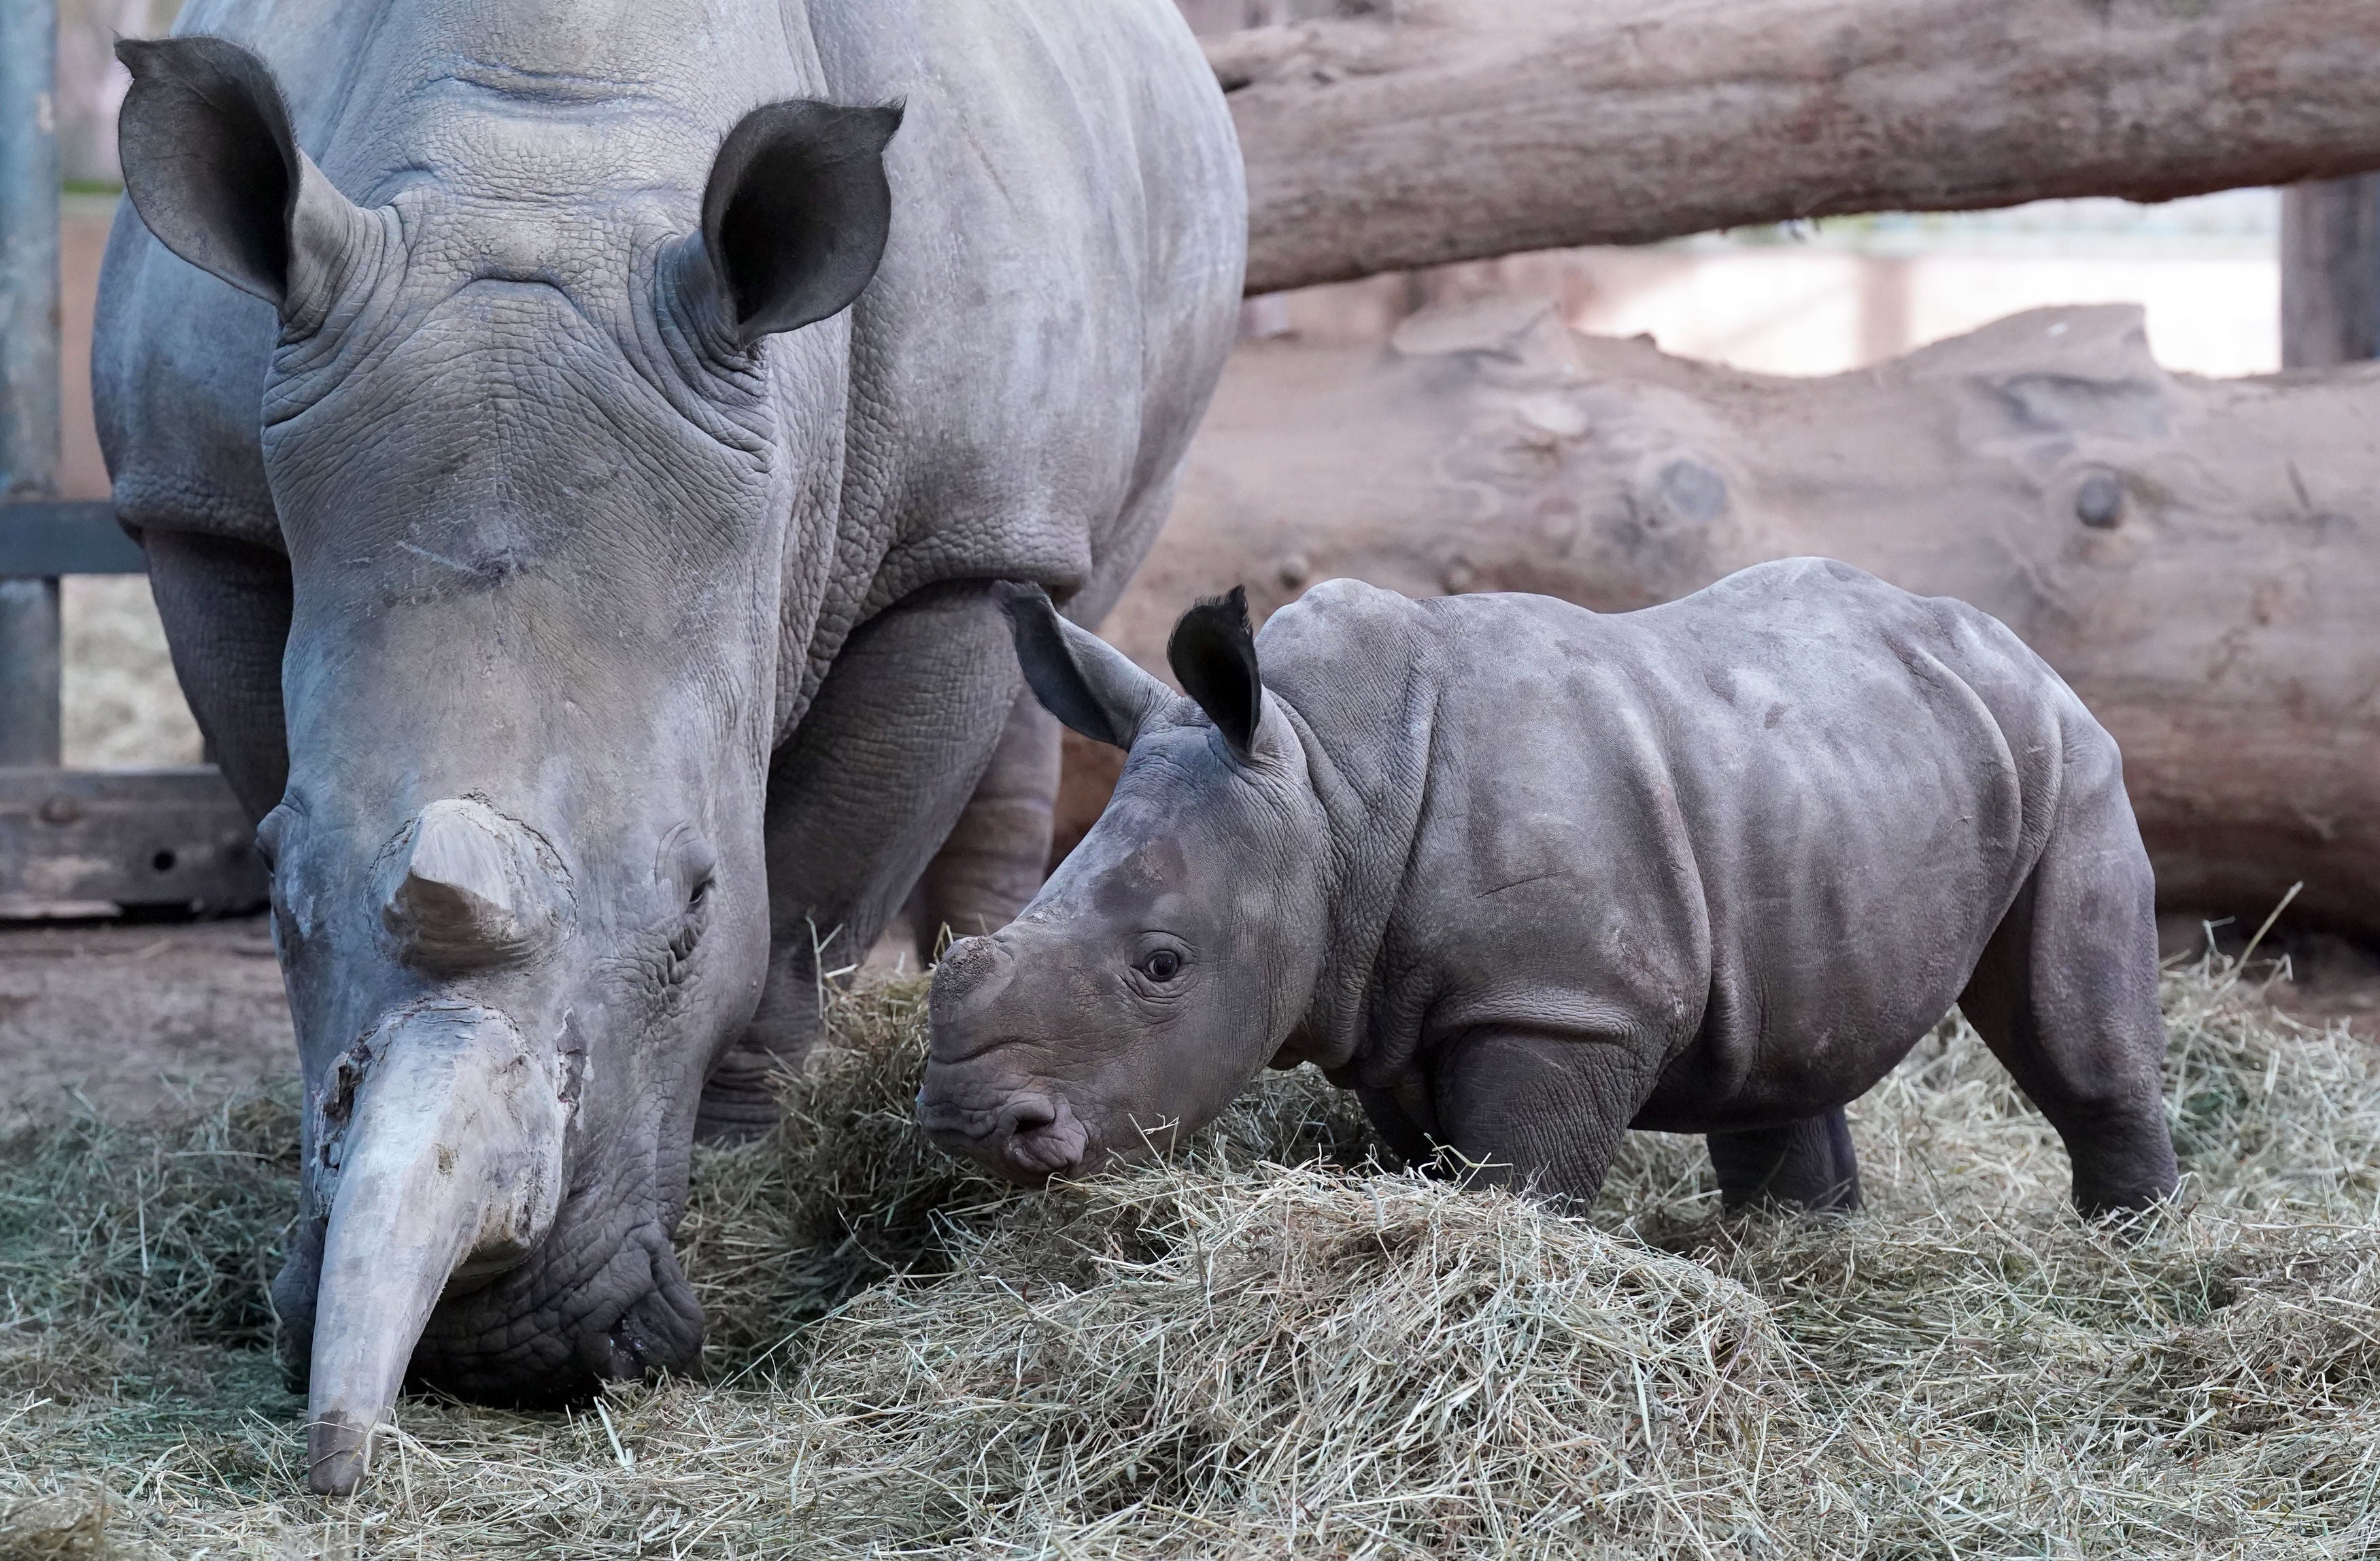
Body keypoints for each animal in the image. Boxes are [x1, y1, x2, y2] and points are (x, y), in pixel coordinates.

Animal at [92, 0, 1247, 1494]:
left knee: (1059, 620)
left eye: (693, 910)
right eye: (278, 900)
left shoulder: (955, 534)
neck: (546, 166)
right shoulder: (194, 507)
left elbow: (815, 882)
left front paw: (750, 1154)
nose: (488, 1348)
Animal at [919, 561, 2180, 1218]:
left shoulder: (1560, 1002)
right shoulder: (1383, 1004)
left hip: (2067, 750)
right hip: (1832, 766)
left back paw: (2131, 1245)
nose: (970, 1122)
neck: (1327, 785)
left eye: (1162, 964)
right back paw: (1793, 1243)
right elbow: (1429, 1156)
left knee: (2071, 1030)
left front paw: (1509, 1258)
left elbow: (1519, 1176)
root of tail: (2003, 634)